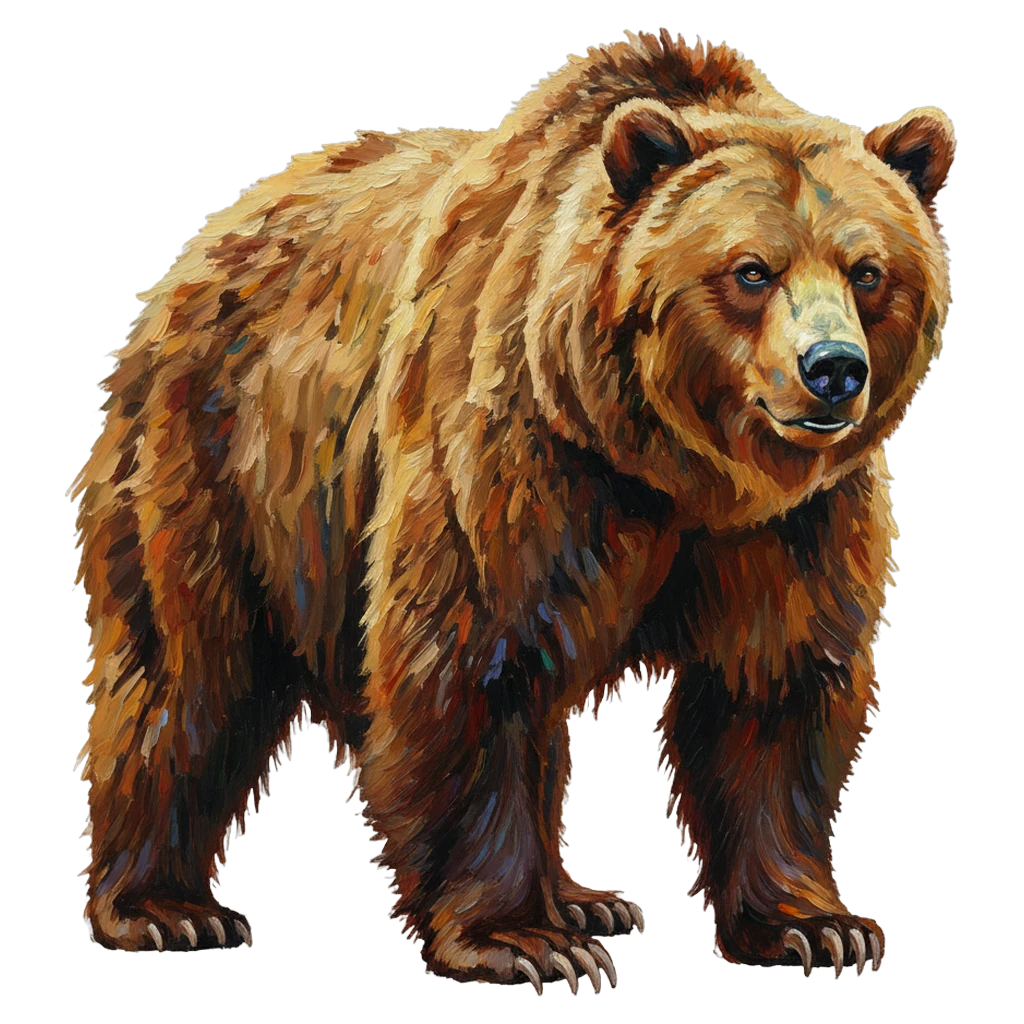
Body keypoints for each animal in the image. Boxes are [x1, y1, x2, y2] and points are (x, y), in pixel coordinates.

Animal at [71, 30, 955, 988]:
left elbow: (773, 685)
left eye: (868, 271)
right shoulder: (518, 450)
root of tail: (216, 234)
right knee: (189, 667)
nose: (833, 368)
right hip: (221, 456)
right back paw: (165, 909)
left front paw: (814, 924)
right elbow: (473, 662)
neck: (679, 468)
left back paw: (584, 898)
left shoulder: (792, 524)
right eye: (751, 270)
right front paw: (521, 940)